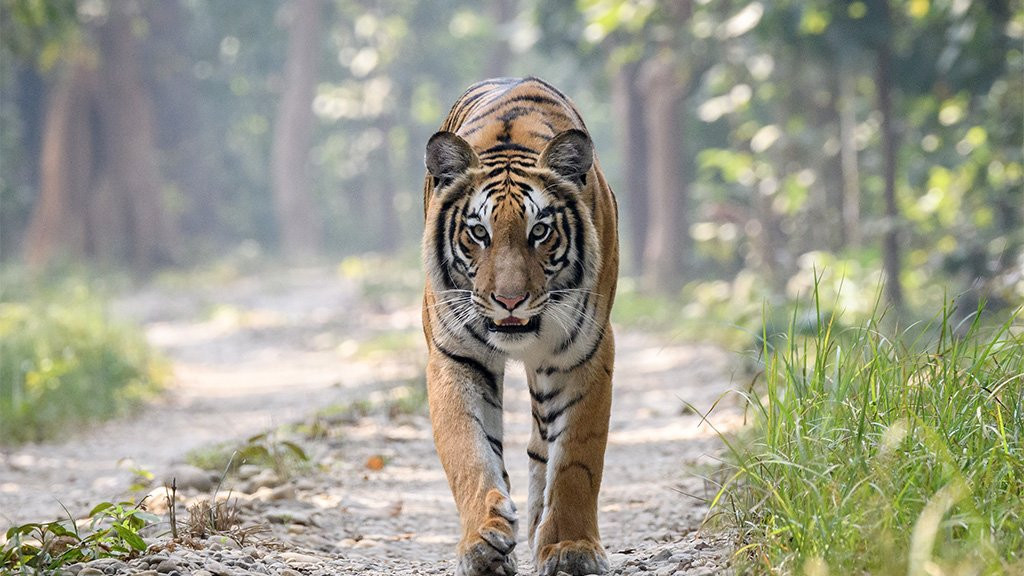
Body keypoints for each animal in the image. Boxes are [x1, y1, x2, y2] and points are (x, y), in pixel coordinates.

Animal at [421, 77, 619, 576]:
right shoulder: (456, 355)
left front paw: (570, 547)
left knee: (541, 446)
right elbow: (468, 450)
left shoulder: (584, 355)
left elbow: (576, 460)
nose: (509, 301)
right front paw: (482, 543)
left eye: (539, 231)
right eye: (478, 233)